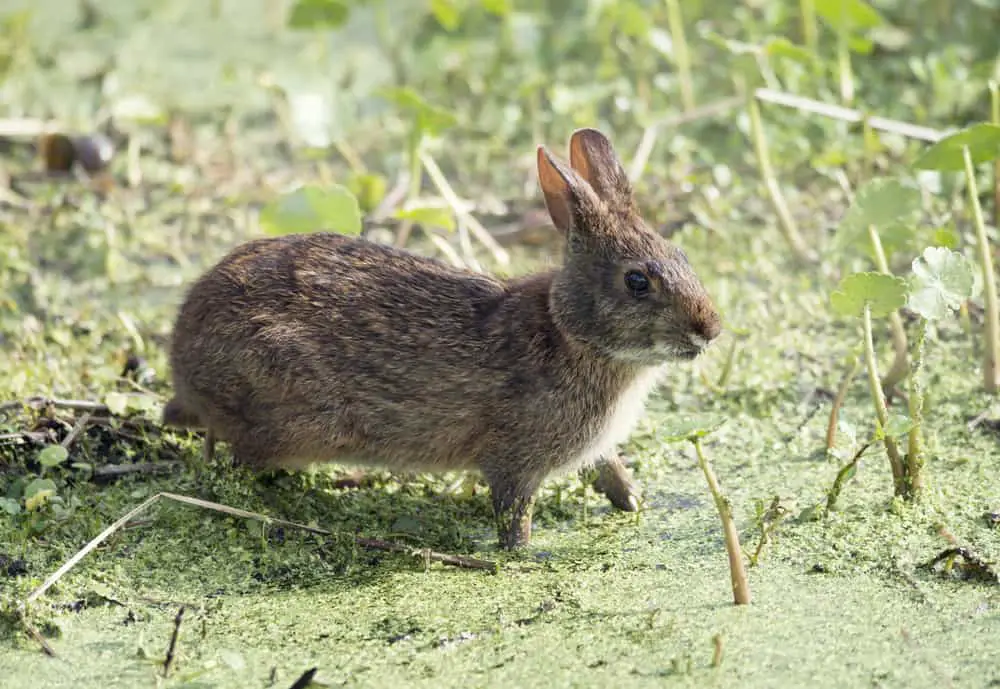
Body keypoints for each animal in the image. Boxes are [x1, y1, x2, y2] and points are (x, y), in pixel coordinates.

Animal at [168, 129, 724, 548]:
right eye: (637, 281)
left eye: (682, 255)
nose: (710, 328)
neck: (571, 332)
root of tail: (181, 354)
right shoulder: (515, 460)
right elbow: (513, 513)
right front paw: (526, 555)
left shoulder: (596, 448)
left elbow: (611, 470)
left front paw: (637, 504)